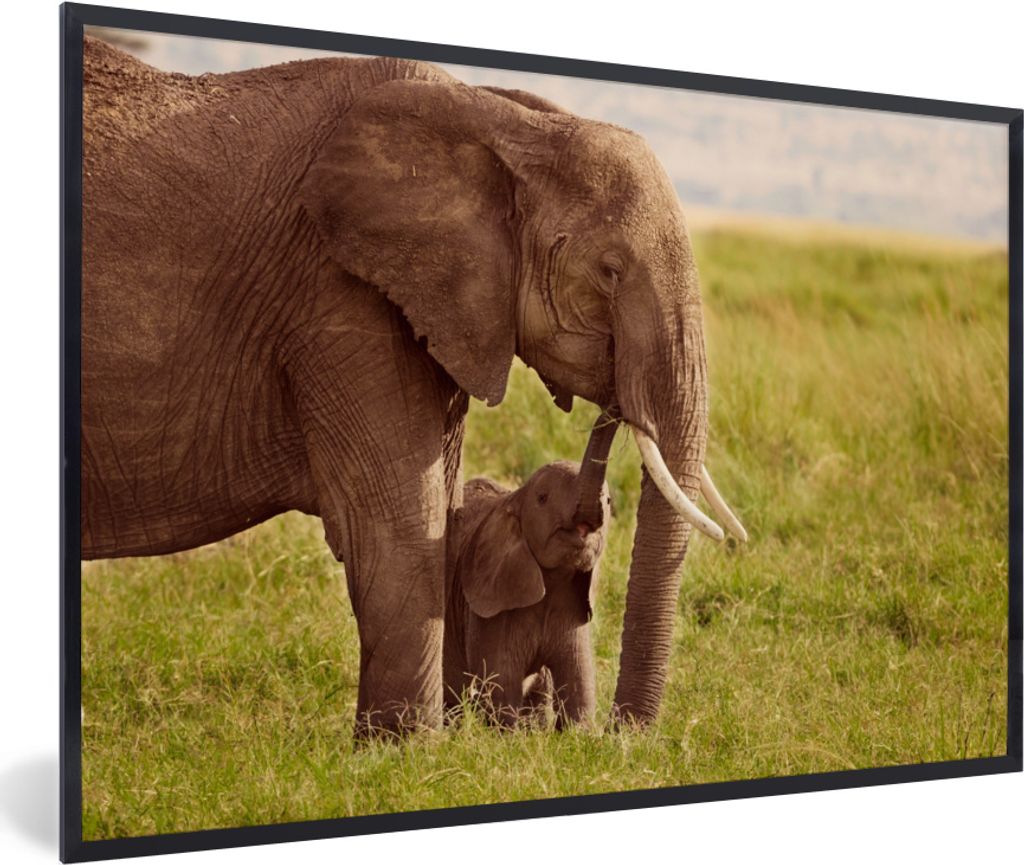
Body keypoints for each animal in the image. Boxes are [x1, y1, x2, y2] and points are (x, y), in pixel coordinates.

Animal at [443, 414, 617, 728]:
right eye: (543, 498)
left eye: (609, 502)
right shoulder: (490, 610)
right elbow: (502, 683)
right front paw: (506, 734)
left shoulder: (573, 607)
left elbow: (579, 683)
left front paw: (579, 734)